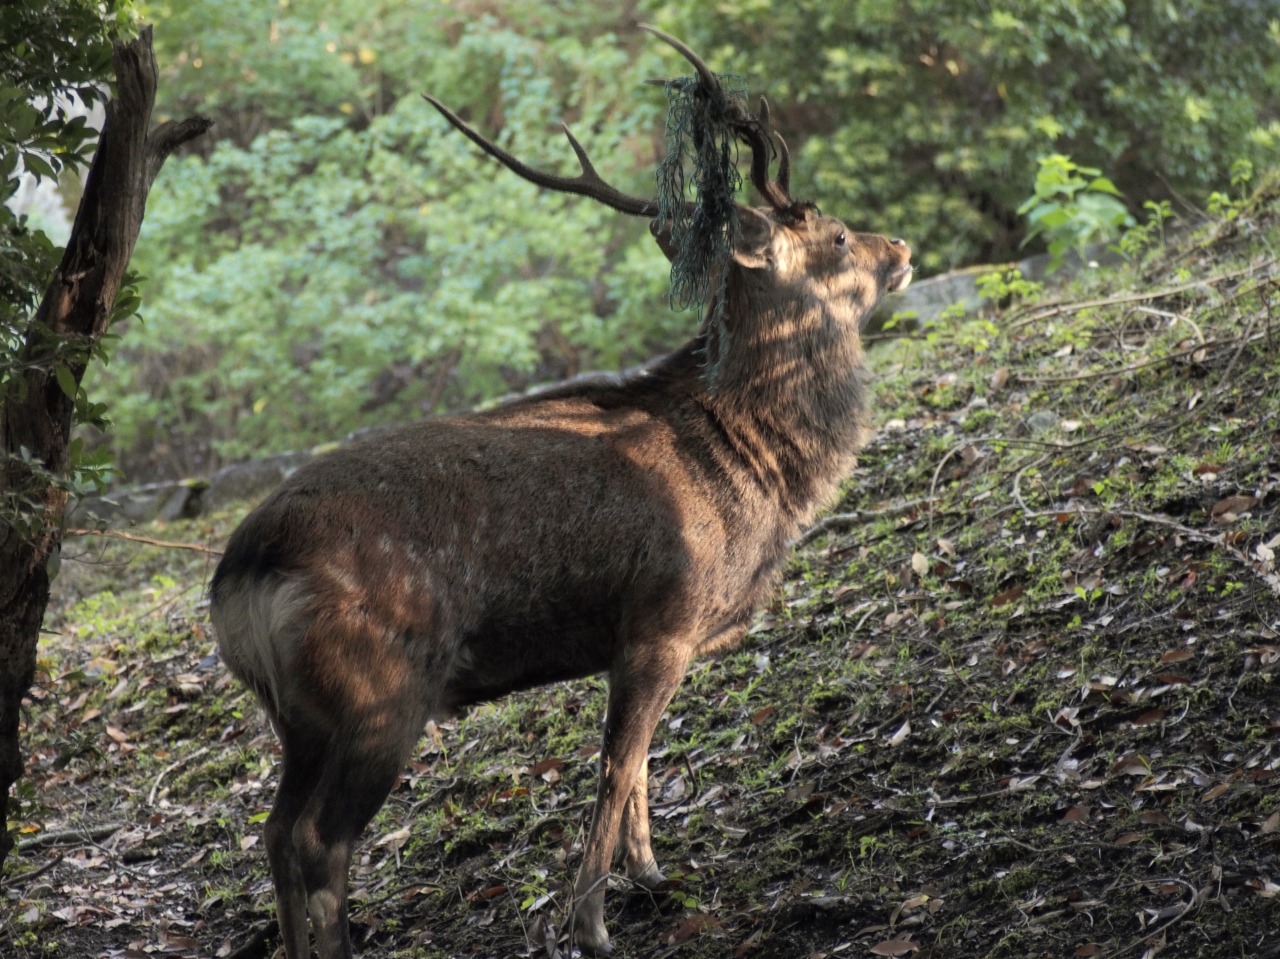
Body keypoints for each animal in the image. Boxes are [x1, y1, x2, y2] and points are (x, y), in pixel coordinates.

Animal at [209, 26, 911, 957]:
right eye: (834, 237)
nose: (901, 250)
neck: (752, 465)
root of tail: (239, 574)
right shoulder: (658, 618)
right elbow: (615, 768)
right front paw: (591, 923)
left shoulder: (646, 639)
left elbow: (642, 763)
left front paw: (653, 874)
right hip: (375, 694)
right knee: (318, 842)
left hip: (297, 719)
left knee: (275, 833)